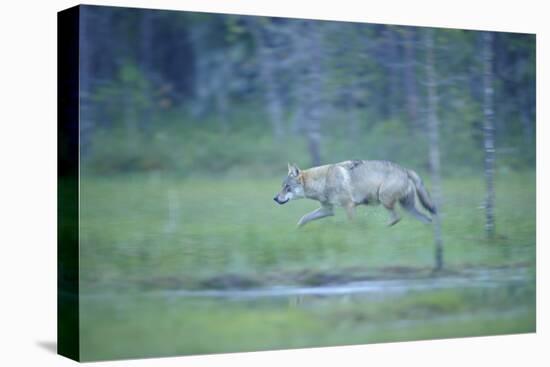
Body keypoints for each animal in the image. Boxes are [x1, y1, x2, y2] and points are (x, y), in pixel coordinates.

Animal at [274, 160, 438, 227]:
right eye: (282, 186)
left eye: (287, 187)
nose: (275, 198)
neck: (322, 181)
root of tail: (406, 170)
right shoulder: (327, 210)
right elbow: (303, 219)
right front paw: (296, 231)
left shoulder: (349, 205)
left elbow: (352, 224)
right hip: (408, 207)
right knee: (427, 219)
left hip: (385, 200)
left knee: (396, 218)